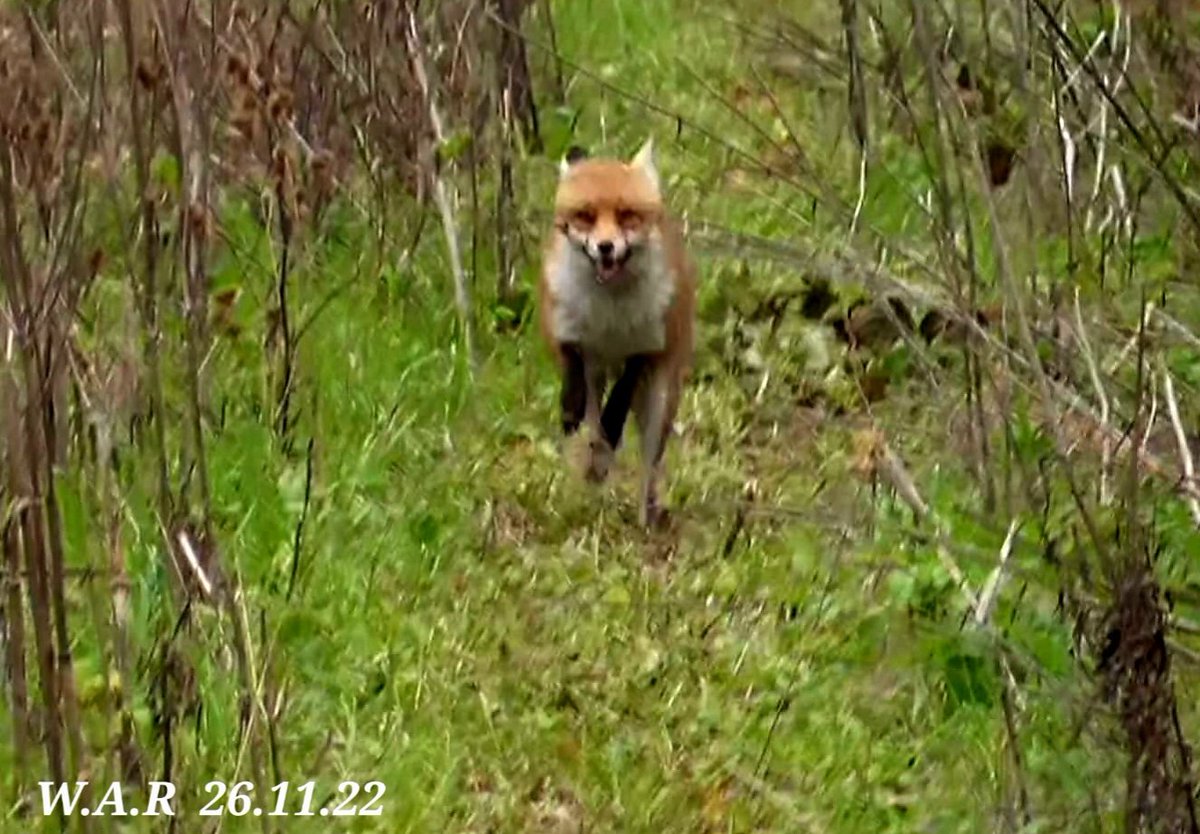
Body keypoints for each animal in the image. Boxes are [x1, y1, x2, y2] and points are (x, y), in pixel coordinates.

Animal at [537, 138, 697, 528]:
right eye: (585, 216)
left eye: (627, 216)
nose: (606, 247)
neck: (608, 318)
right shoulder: (567, 332)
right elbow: (572, 375)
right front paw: (570, 410)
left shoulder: (645, 348)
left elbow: (618, 404)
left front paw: (611, 428)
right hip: (600, 376)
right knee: (595, 429)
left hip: (660, 401)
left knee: (648, 465)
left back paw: (643, 520)